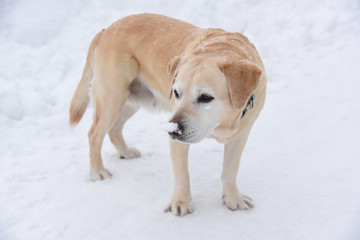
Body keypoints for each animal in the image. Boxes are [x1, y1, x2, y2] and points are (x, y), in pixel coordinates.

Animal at [71, 12, 268, 216]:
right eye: (176, 93)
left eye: (206, 97)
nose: (173, 130)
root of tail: (107, 29)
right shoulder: (178, 142)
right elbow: (182, 174)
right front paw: (180, 202)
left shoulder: (240, 136)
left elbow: (230, 170)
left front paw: (232, 198)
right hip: (112, 97)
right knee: (94, 134)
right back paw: (98, 172)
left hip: (130, 101)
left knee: (114, 129)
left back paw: (126, 152)